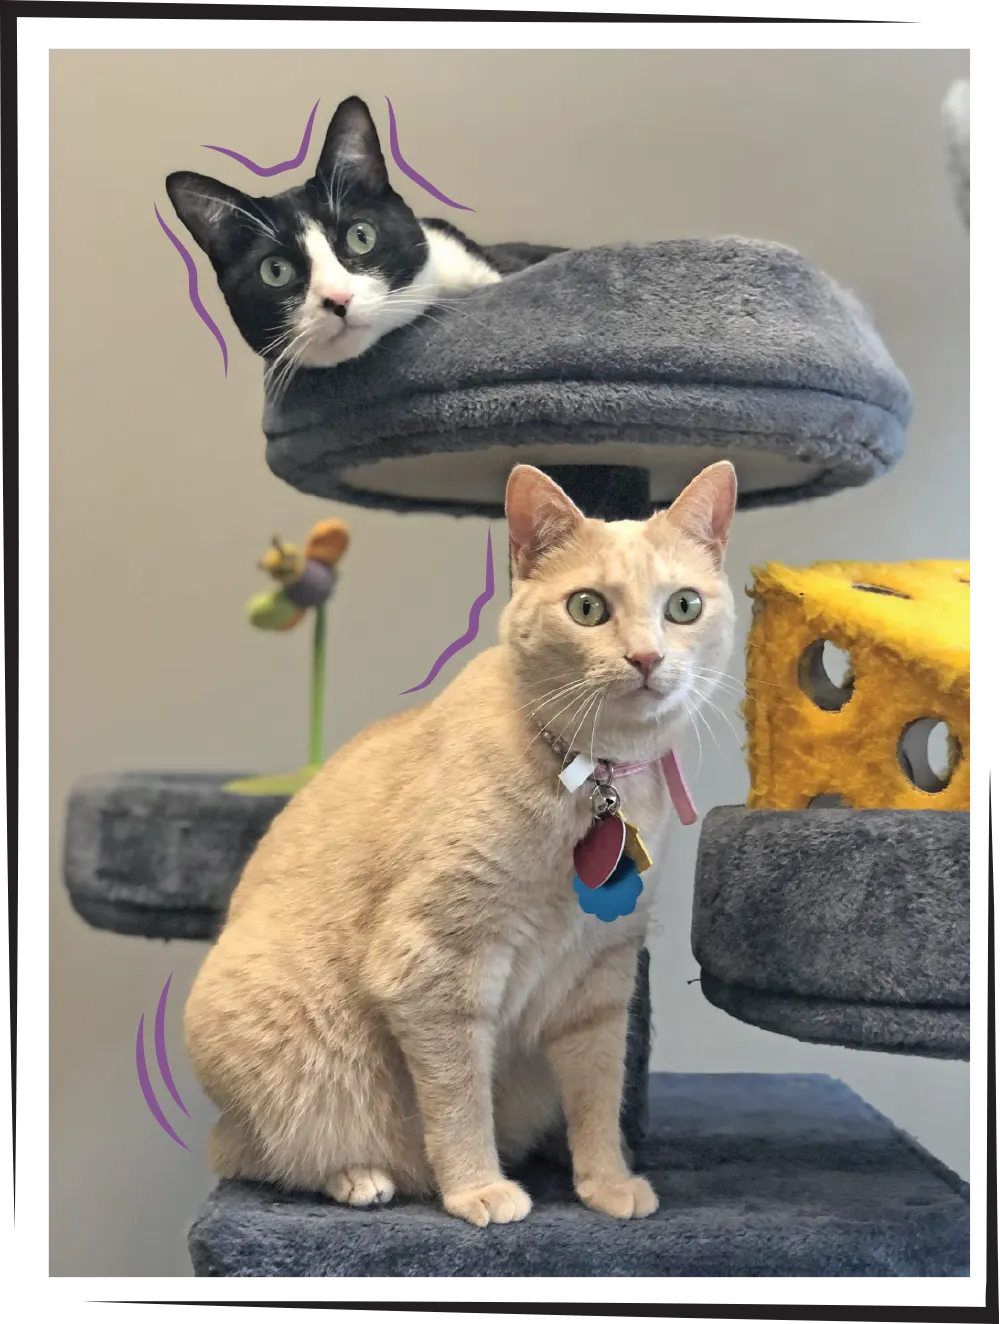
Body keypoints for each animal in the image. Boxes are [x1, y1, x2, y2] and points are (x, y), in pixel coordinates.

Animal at [184, 460, 741, 1223]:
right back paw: (362, 1178)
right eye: (588, 608)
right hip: (293, 1077)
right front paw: (477, 1187)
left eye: (683, 606)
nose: (647, 657)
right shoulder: (434, 968)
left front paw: (605, 1181)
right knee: (268, 1155)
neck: (590, 776)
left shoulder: (602, 980)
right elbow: (458, 1101)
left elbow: (598, 1096)